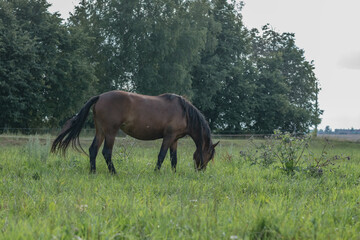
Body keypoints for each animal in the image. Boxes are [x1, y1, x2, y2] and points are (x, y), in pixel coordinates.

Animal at [50, 91, 219, 173]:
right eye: (209, 155)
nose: (201, 171)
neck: (184, 112)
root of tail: (99, 97)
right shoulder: (169, 137)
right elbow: (161, 156)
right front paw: (156, 172)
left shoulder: (175, 139)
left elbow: (174, 158)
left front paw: (174, 173)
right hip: (110, 132)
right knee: (106, 152)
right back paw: (114, 173)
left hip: (101, 131)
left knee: (93, 150)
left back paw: (93, 172)